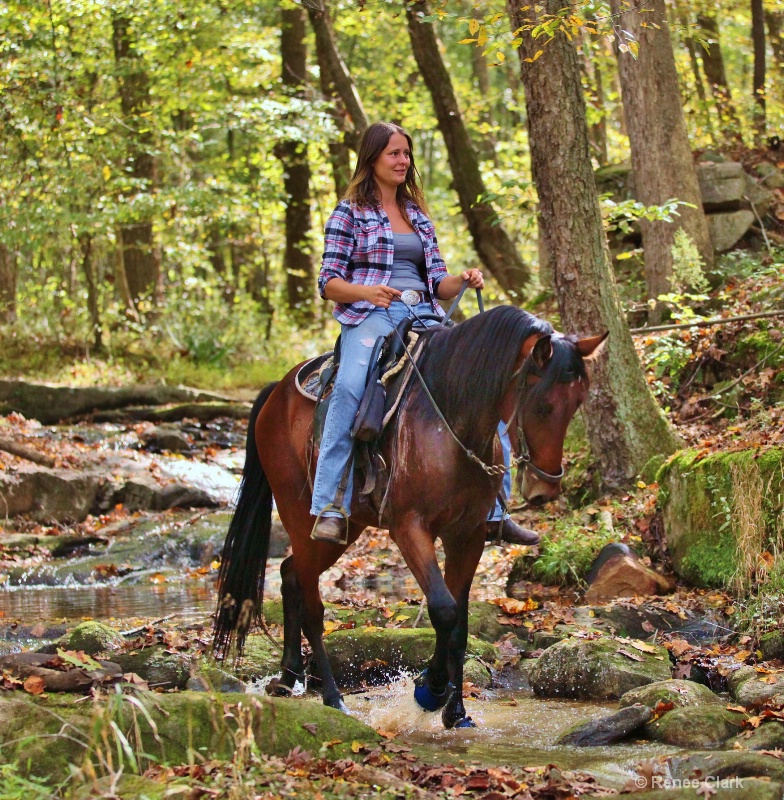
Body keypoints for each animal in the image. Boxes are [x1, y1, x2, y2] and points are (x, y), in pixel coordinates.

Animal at [214, 308, 608, 732]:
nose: (544, 488)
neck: (451, 421)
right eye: (542, 406)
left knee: (289, 575)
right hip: (299, 515)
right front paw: (430, 690)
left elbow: (461, 621)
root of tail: (276, 394)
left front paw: (456, 711)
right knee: (313, 608)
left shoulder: (467, 535)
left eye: (577, 404)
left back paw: (289, 678)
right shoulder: (410, 529)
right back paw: (334, 699)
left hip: (346, 529)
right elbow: (443, 609)